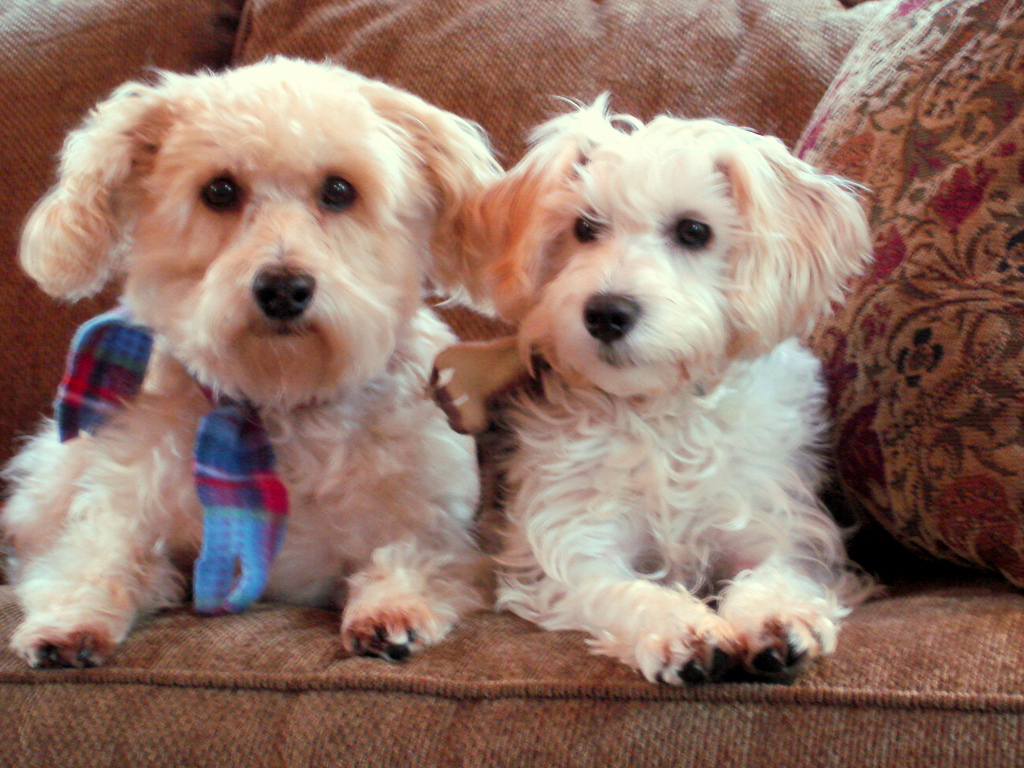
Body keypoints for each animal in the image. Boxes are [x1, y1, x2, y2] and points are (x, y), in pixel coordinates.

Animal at [3, 58, 499, 667]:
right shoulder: (124, 515)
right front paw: (70, 624)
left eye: (339, 190)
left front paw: (390, 611)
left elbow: (408, 560)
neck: (279, 399)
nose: (283, 289)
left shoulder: (435, 532)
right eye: (219, 190)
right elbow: (96, 563)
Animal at [436, 100, 876, 684]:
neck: (662, 414)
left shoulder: (780, 524)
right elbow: (626, 592)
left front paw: (777, 619)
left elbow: (778, 574)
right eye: (584, 227)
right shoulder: (574, 542)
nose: (606, 312)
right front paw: (681, 631)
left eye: (694, 230)